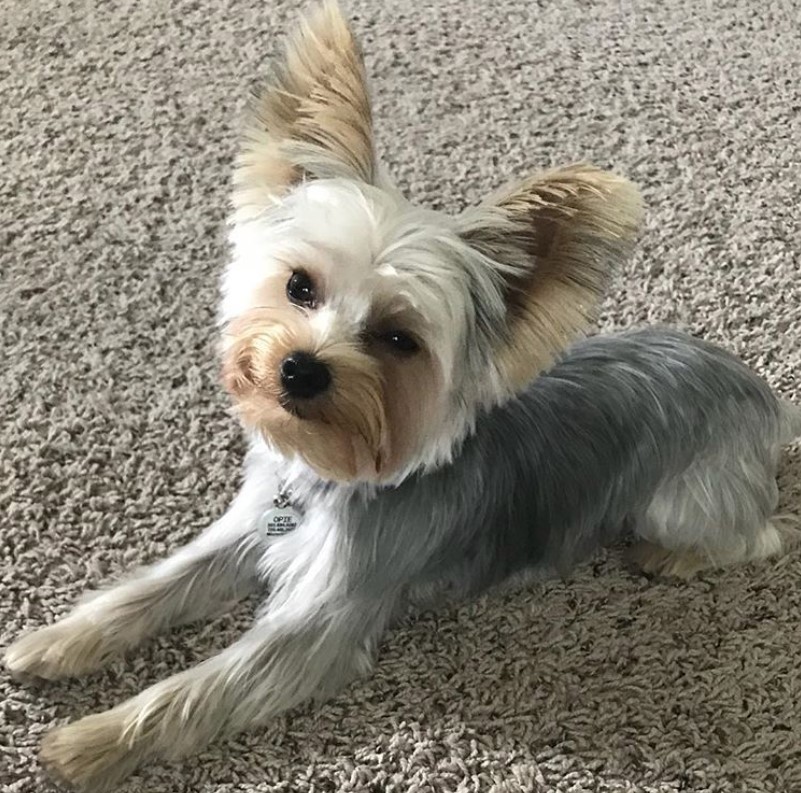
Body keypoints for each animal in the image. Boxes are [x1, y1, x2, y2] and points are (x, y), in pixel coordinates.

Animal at [7, 1, 800, 792]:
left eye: (399, 339)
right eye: (299, 286)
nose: (300, 369)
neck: (327, 477)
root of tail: (758, 390)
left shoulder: (320, 624)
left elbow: (197, 689)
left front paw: (87, 742)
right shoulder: (250, 527)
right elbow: (152, 586)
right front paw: (53, 641)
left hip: (684, 500)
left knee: (759, 534)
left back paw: (674, 558)